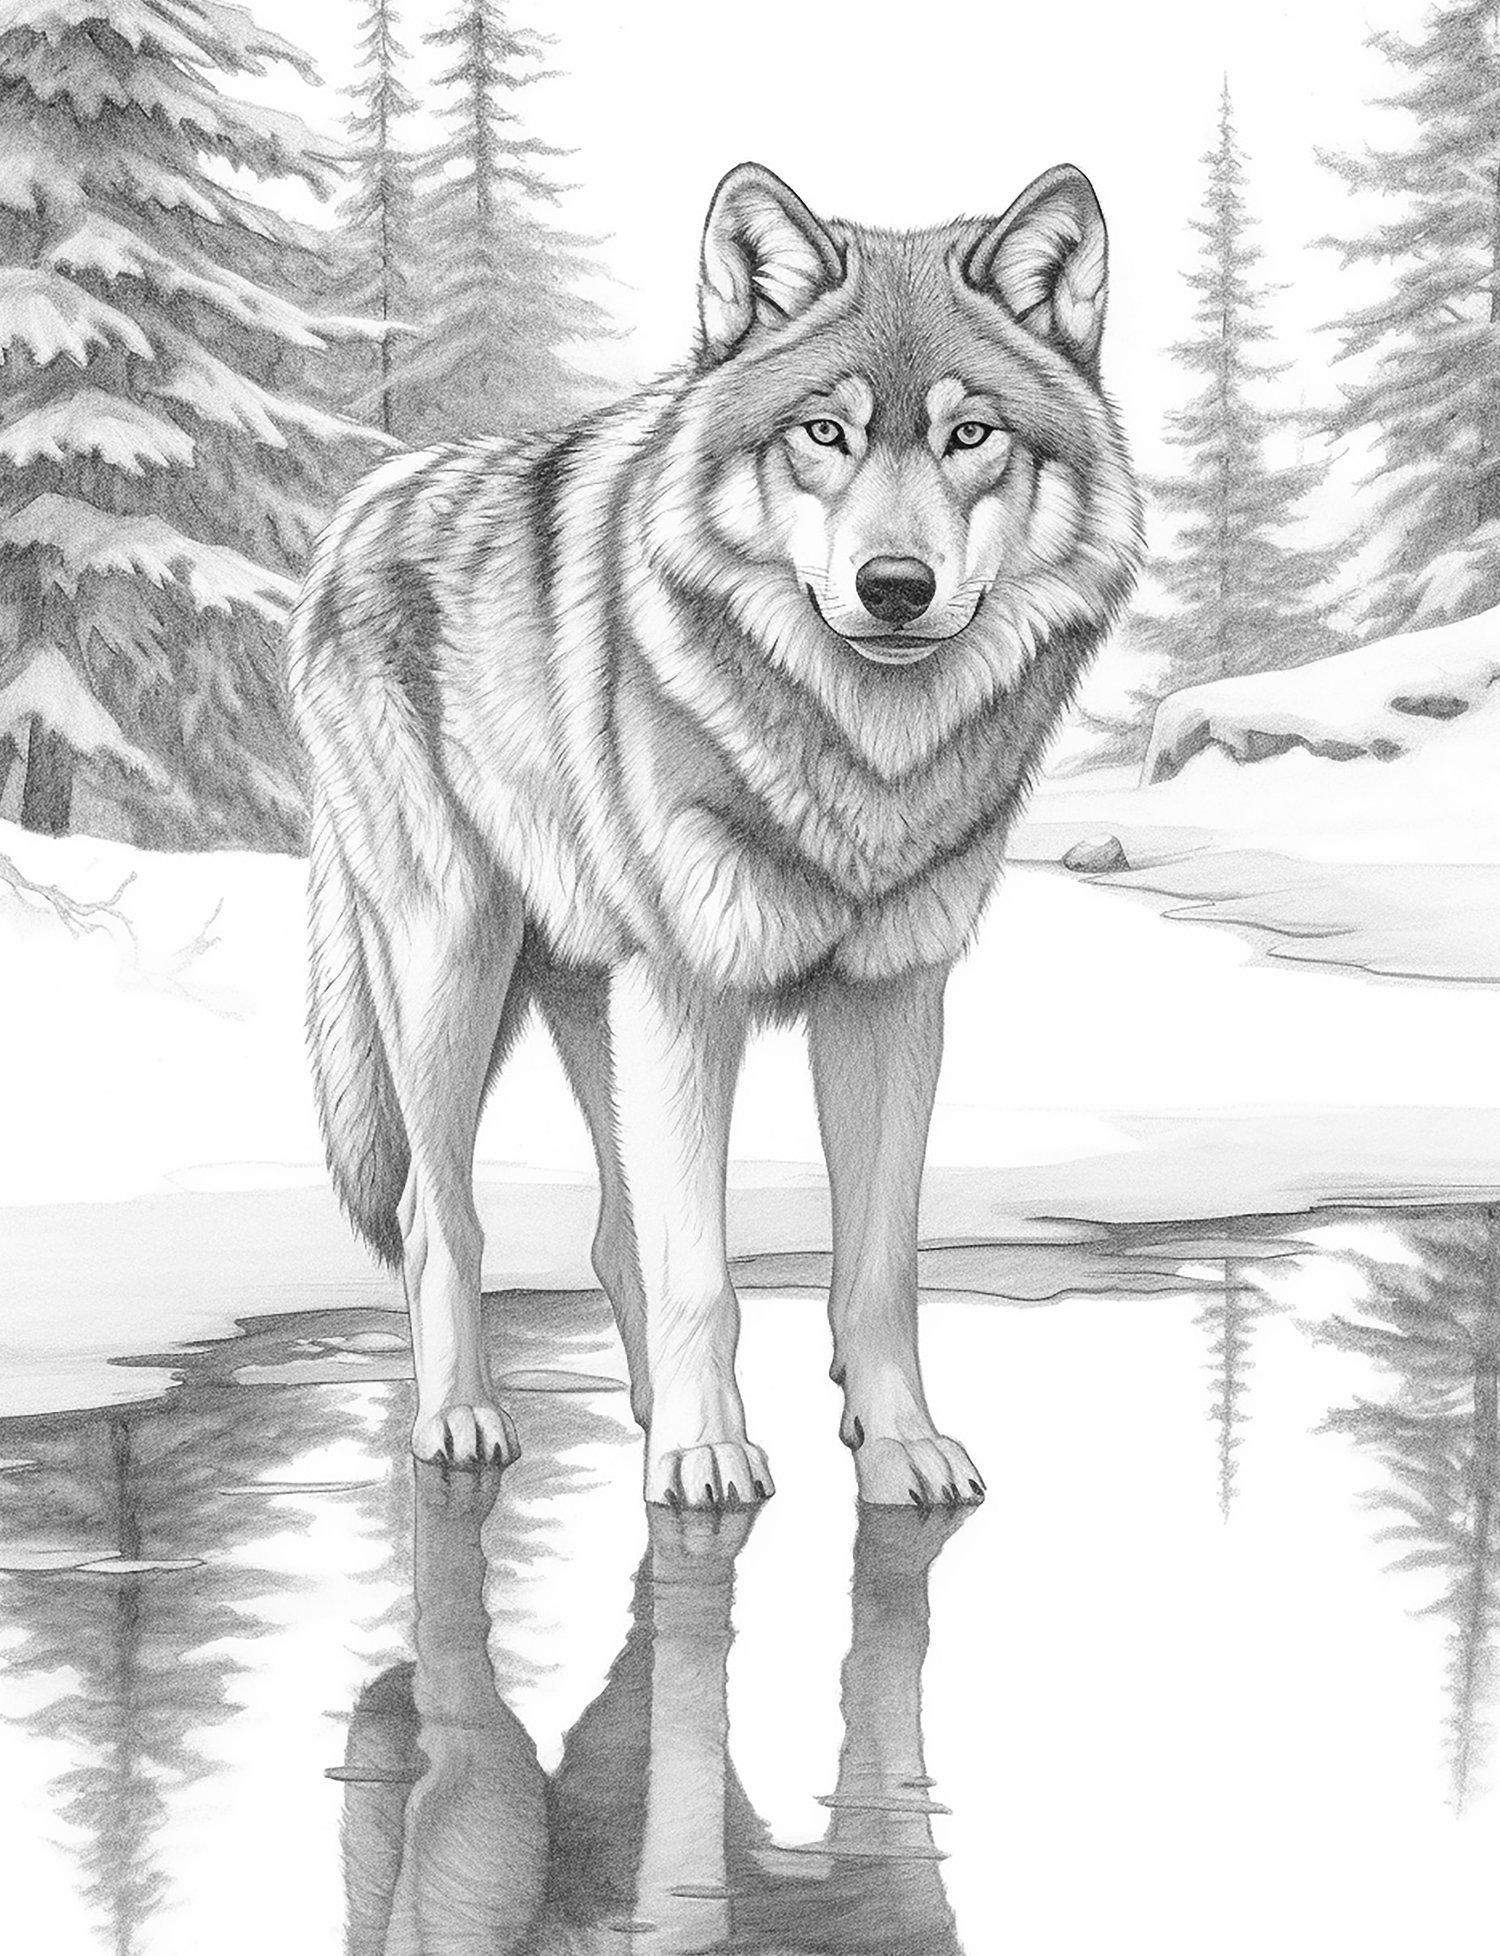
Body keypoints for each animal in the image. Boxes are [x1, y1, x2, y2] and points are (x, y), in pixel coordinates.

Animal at [288, 160, 1142, 1509]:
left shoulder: (890, 999)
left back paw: (643, 1413)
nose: (894, 587)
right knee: (438, 1216)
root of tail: (356, 509)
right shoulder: (691, 990)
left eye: (970, 436)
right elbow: (703, 1270)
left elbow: (878, 1266)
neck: (860, 760)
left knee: (611, 1227)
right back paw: (467, 1421)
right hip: (455, 962)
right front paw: (704, 1456)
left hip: (592, 995)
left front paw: (897, 1445)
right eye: (825, 433)